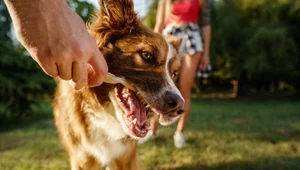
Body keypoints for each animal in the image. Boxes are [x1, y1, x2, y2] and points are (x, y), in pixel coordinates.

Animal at [52, 0, 184, 169]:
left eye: (174, 73)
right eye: (146, 55)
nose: (179, 107)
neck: (104, 116)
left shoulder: (127, 157)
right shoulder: (83, 159)